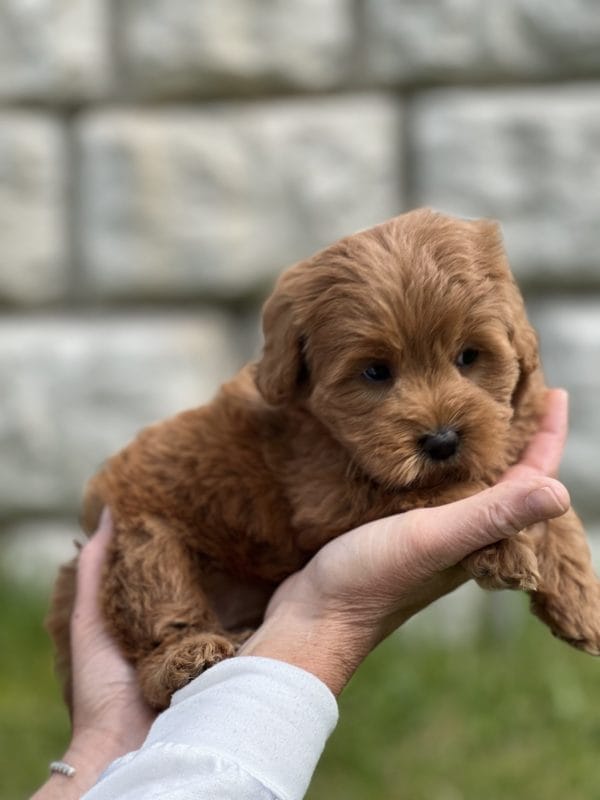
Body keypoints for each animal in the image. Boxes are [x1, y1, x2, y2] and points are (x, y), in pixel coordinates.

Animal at [48, 209, 600, 708]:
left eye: (469, 356)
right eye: (375, 372)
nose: (443, 441)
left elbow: (560, 516)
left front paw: (585, 603)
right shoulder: (330, 496)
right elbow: (447, 490)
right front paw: (503, 545)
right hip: (141, 543)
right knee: (157, 621)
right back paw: (188, 657)